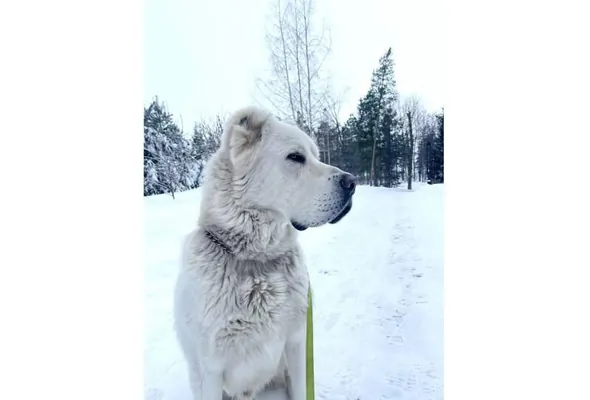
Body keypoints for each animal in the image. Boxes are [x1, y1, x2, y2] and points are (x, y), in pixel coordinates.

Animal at [173, 106, 358, 400]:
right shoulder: (210, 370)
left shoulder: (297, 345)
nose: (353, 182)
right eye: (295, 157)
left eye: (316, 156)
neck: (257, 261)